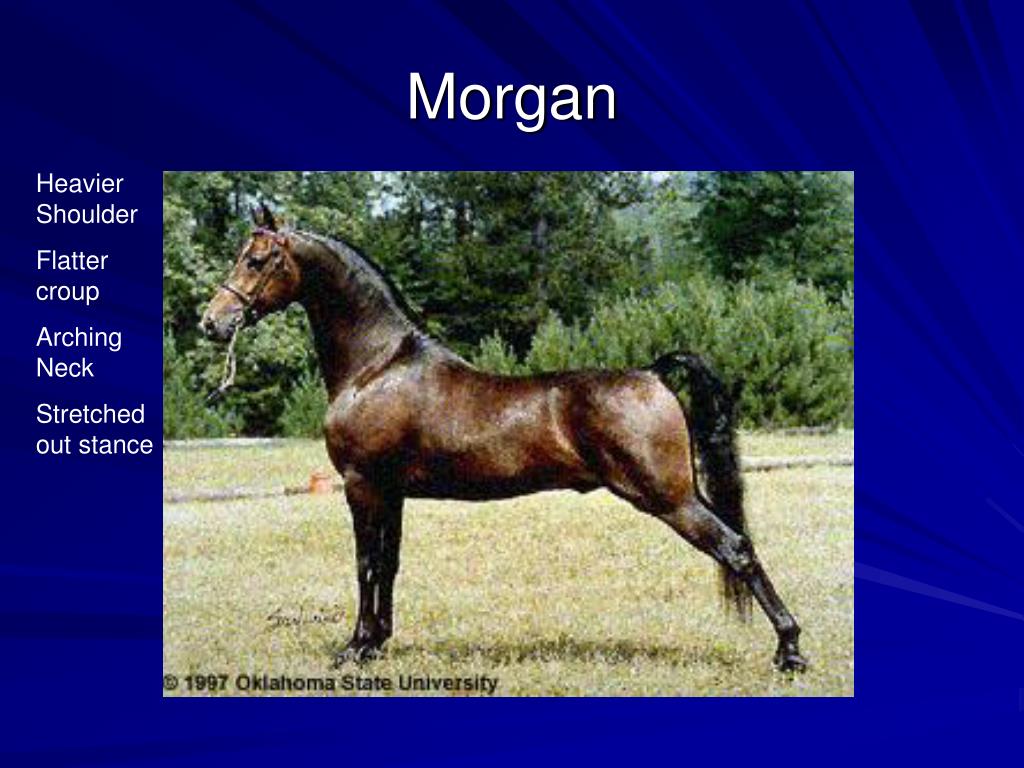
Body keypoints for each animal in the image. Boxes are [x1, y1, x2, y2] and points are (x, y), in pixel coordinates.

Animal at [200, 205, 807, 672]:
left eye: (256, 260)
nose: (212, 321)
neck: (378, 364)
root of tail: (653, 373)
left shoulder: (362, 485)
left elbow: (365, 564)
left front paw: (354, 648)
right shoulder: (391, 492)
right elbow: (389, 563)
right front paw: (378, 643)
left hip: (669, 497)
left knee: (736, 549)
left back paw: (790, 651)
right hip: (684, 491)